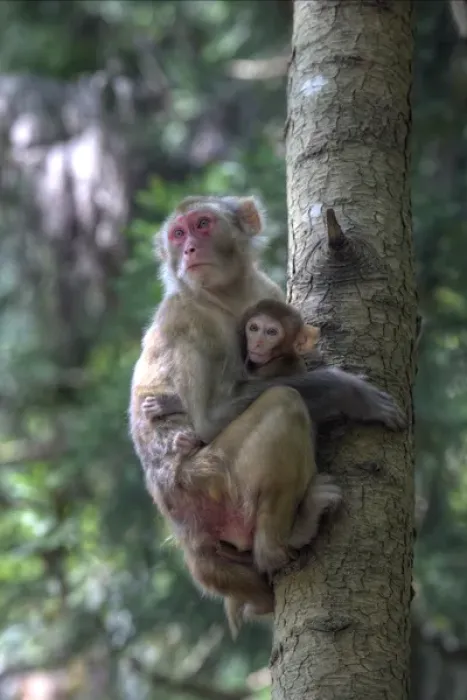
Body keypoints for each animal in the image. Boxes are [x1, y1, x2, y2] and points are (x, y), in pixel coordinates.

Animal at [129, 194, 406, 635]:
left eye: (202, 224)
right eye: (178, 233)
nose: (188, 249)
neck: (224, 296)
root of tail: (189, 537)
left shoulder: (265, 290)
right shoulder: (188, 318)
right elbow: (210, 416)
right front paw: (348, 391)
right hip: (209, 488)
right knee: (283, 405)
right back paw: (283, 541)